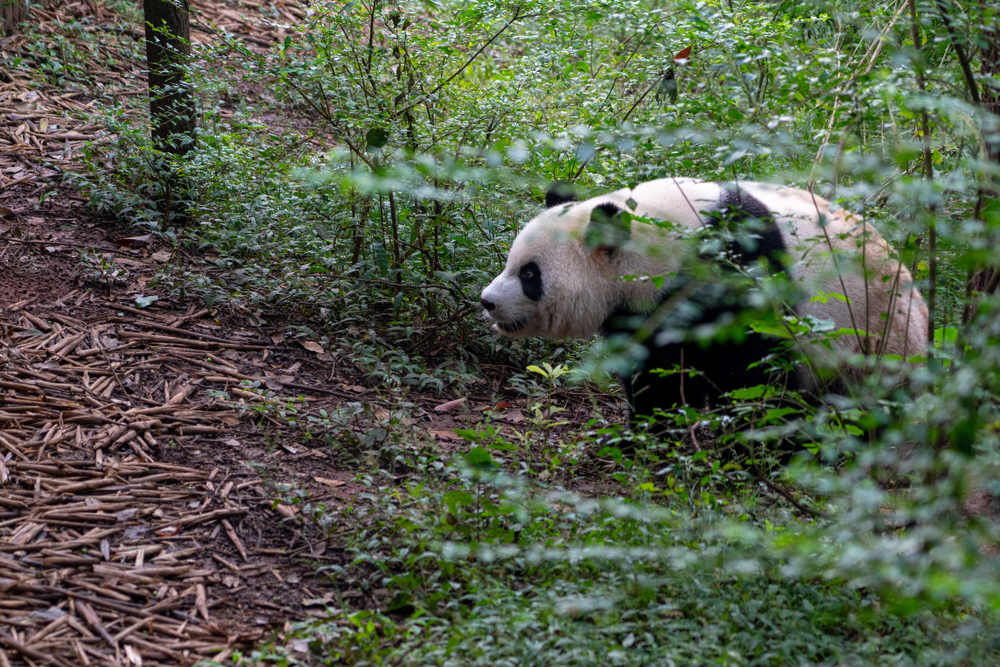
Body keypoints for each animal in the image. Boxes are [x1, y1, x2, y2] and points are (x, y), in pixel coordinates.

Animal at [480, 177, 928, 433]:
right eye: (512, 263)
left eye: (530, 274)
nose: (488, 302)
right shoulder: (646, 310)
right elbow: (656, 369)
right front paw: (647, 434)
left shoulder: (737, 274)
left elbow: (753, 368)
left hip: (876, 339)